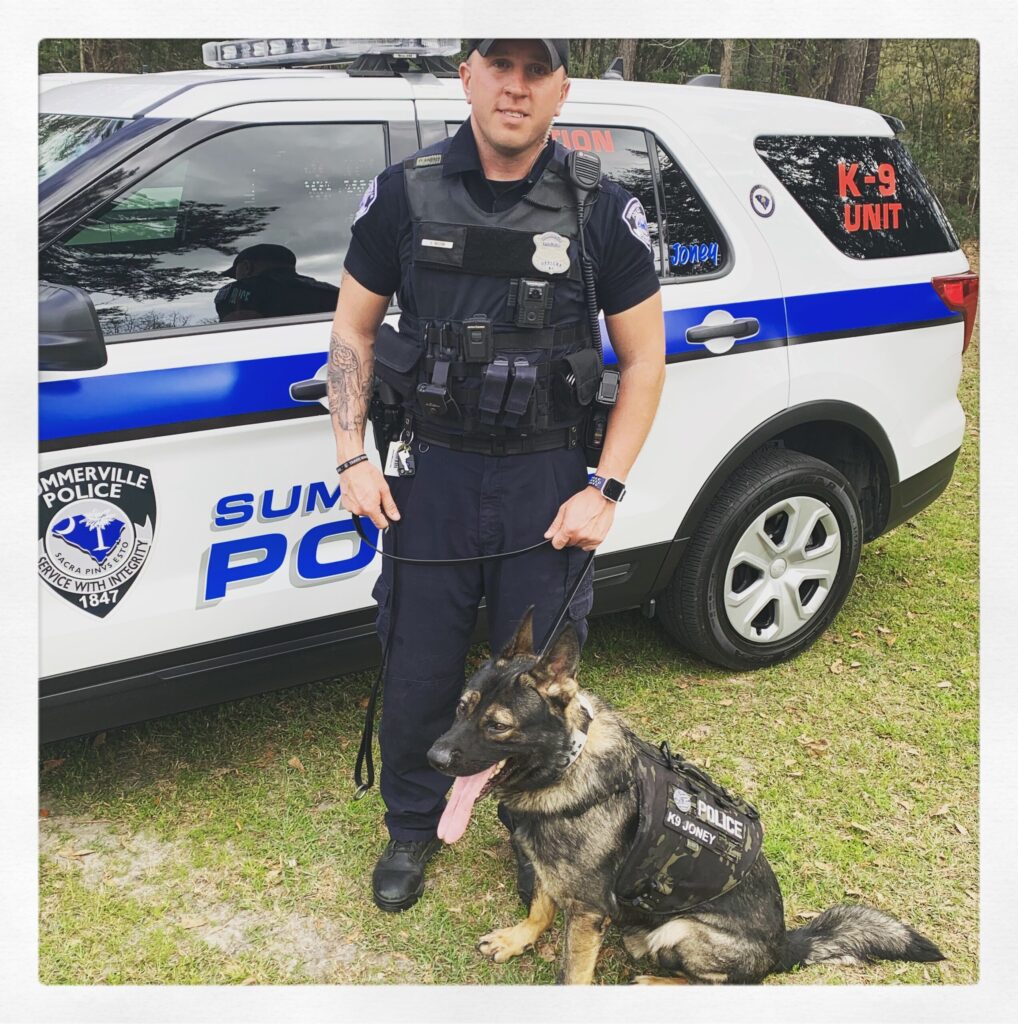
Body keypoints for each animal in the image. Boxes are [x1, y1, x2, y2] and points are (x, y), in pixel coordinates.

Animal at [426, 609, 945, 985]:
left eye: (497, 726)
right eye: (461, 708)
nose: (433, 757)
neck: (567, 765)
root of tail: (783, 948)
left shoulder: (590, 911)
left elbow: (572, 974)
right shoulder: (554, 875)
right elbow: (540, 904)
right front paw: (520, 937)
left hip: (682, 930)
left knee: (720, 985)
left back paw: (655, 984)